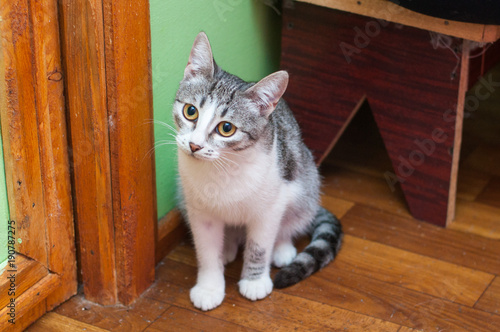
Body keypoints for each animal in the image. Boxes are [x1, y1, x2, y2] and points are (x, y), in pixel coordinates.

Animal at [174, 31, 342, 312]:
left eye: (226, 128)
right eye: (190, 111)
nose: (195, 145)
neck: (223, 168)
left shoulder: (269, 208)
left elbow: (259, 246)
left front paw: (254, 281)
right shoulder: (200, 211)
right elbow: (206, 250)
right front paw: (210, 287)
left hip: (305, 181)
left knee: (293, 219)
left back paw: (283, 248)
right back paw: (228, 247)